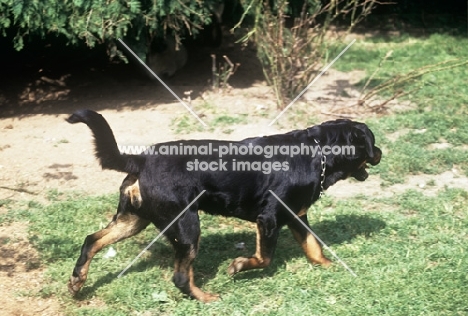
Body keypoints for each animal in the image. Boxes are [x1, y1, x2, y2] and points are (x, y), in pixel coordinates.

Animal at [65, 110, 380, 302]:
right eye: (372, 142)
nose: (380, 151)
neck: (318, 152)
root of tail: (141, 159)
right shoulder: (269, 218)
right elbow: (264, 258)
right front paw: (239, 266)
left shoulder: (297, 216)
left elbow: (313, 247)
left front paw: (329, 266)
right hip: (187, 226)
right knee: (181, 277)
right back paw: (205, 297)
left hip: (133, 219)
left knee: (92, 239)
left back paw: (78, 279)